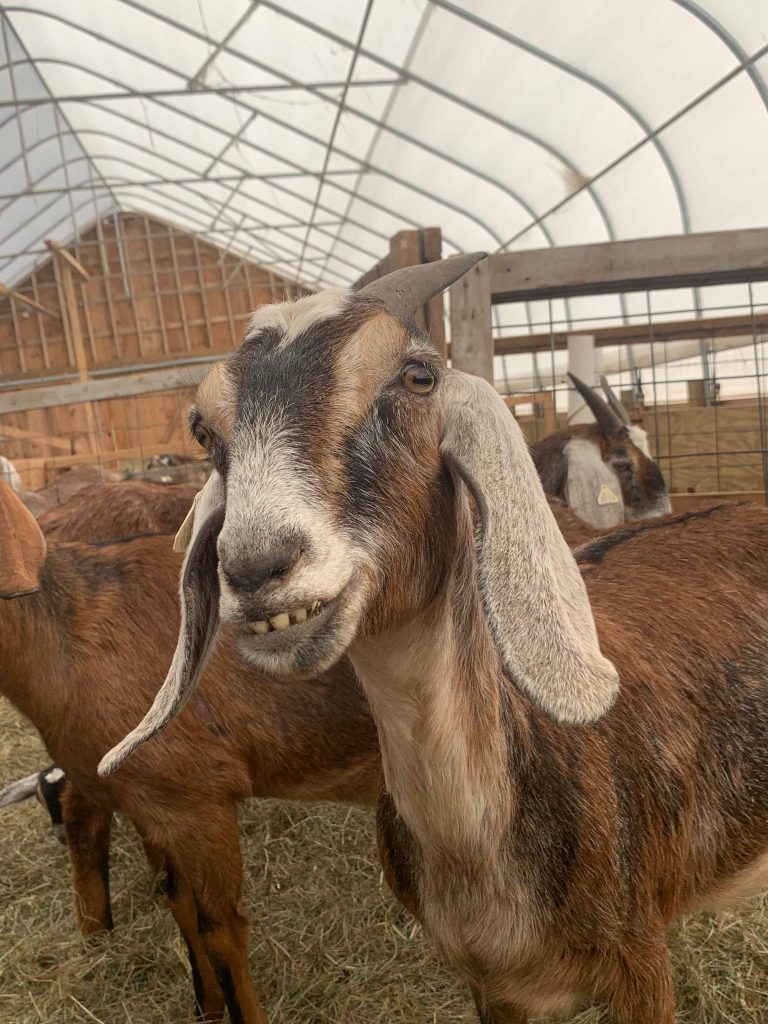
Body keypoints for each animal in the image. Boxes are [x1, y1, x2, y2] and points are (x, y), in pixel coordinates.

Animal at [103, 253, 768, 1024]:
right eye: (203, 431)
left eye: (418, 377)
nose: (254, 565)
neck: (476, 847)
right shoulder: (492, 986)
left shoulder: (642, 960)